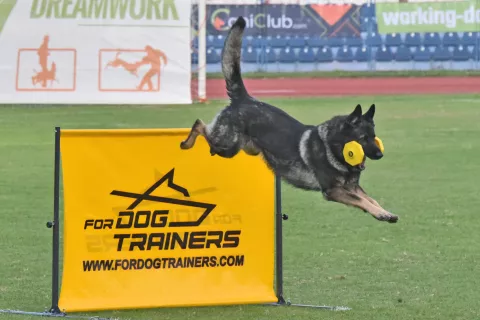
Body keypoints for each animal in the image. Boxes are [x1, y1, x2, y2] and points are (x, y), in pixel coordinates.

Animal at [180, 16, 398, 224]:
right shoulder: (333, 191)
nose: (380, 154)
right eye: (362, 138)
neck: (333, 146)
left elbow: (370, 199)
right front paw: (381, 214)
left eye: (373, 136)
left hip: (240, 149)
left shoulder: (352, 188)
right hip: (227, 146)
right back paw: (186, 143)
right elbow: (363, 201)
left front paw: (385, 213)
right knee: (199, 124)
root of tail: (244, 99)